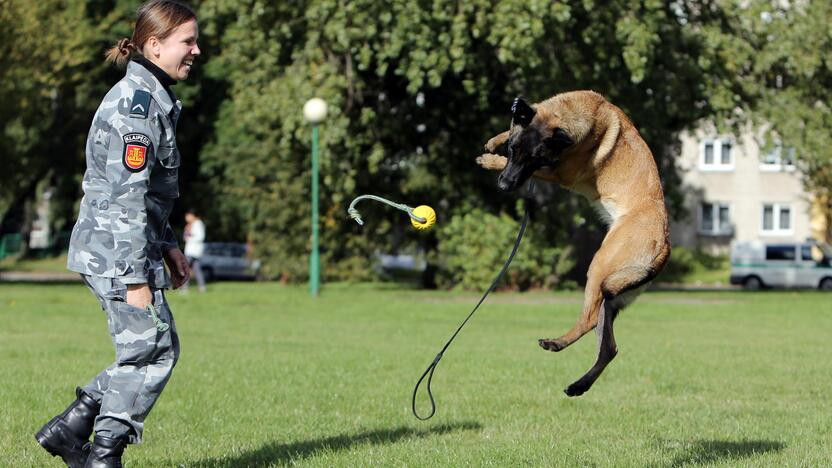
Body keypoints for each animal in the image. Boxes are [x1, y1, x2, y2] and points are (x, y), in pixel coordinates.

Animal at [474, 90, 668, 394]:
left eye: (536, 158)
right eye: (513, 151)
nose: (505, 186)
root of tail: (664, 245)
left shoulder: (558, 173)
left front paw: (489, 159)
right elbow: (516, 122)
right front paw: (496, 139)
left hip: (600, 267)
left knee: (588, 320)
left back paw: (556, 344)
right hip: (612, 298)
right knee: (609, 348)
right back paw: (578, 384)